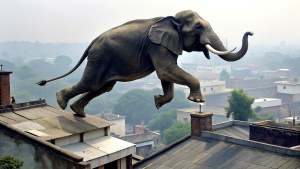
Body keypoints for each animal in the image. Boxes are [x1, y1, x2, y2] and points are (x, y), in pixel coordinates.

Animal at [37, 9, 253, 117]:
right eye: (198, 27)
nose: (250, 32)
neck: (171, 18)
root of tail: (93, 41)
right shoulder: (156, 45)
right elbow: (165, 70)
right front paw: (197, 100)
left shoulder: (166, 45)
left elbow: (166, 75)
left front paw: (157, 101)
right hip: (101, 56)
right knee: (92, 83)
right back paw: (60, 100)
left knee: (104, 87)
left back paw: (77, 111)